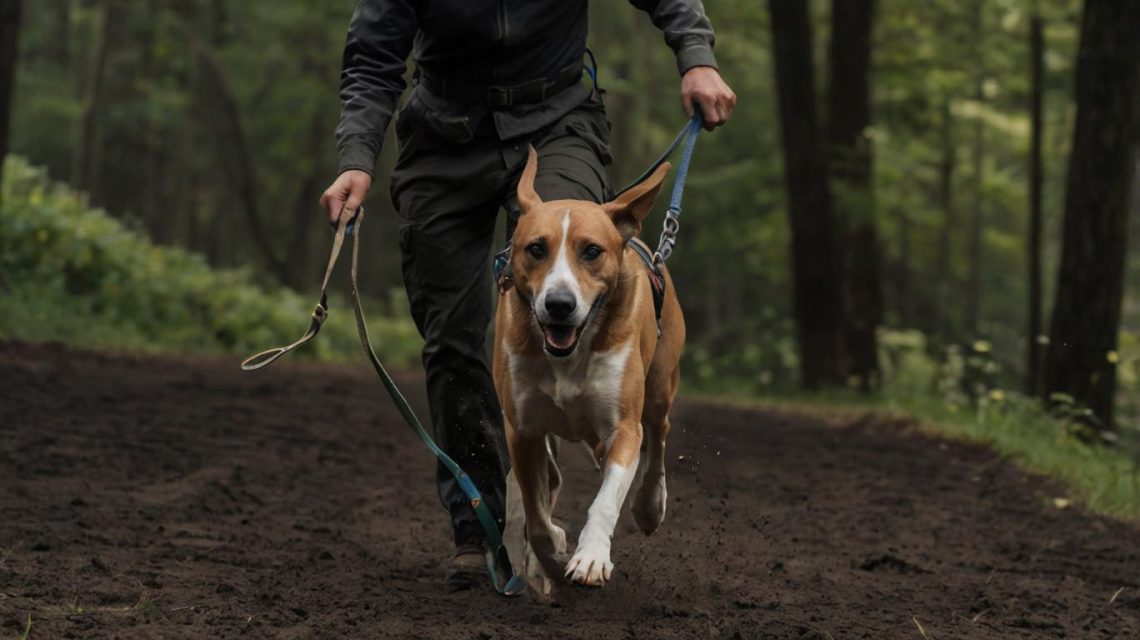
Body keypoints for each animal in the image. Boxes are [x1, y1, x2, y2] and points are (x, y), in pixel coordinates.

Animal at [492, 146, 684, 593]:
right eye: (536, 248)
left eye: (592, 251)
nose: (559, 304)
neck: (569, 354)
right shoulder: (522, 429)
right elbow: (536, 514)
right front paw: (550, 553)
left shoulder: (623, 426)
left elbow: (606, 500)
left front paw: (592, 556)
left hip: (659, 386)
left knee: (658, 435)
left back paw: (650, 503)